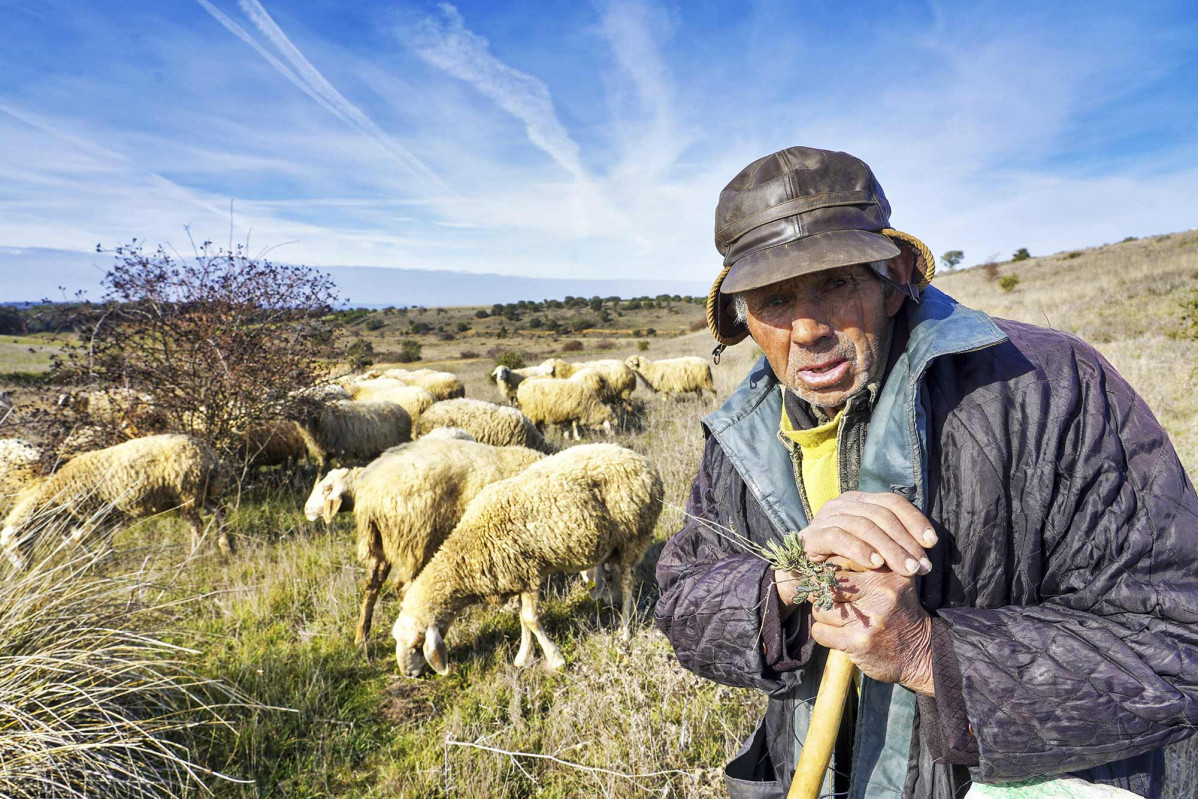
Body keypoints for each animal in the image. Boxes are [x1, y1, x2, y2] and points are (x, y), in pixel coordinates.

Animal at [0, 431, 226, 567]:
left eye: (14, 547)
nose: (23, 570)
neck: (56, 494)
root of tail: (208, 454)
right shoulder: (97, 516)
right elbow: (89, 539)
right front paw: (106, 560)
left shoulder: (93, 513)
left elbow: (79, 538)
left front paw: (99, 561)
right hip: (202, 493)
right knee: (219, 511)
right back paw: (226, 546)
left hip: (187, 494)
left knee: (197, 526)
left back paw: (194, 557)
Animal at [301, 438, 546, 642]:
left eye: (327, 488)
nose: (306, 511)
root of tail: (370, 494)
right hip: (417, 540)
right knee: (405, 589)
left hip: (387, 544)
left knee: (372, 585)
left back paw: (362, 638)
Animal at [390, 440, 661, 680]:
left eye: (416, 645)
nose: (409, 674)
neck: (469, 549)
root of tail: (646, 464)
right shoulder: (519, 576)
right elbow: (523, 618)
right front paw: (523, 657)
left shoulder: (530, 573)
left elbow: (530, 619)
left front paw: (556, 659)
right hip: (613, 544)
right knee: (611, 572)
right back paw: (608, 600)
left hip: (632, 535)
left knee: (628, 582)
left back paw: (625, 629)